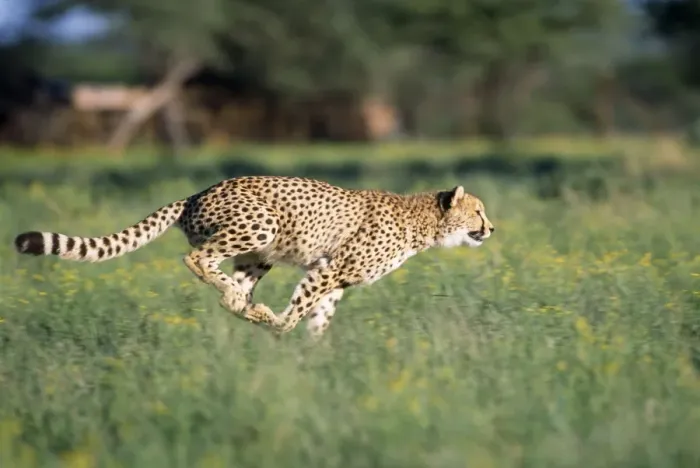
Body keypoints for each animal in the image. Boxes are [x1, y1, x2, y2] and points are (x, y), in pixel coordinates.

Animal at [14, 175, 495, 339]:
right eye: (478, 211)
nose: (491, 229)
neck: (424, 223)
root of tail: (197, 192)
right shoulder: (330, 268)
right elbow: (299, 310)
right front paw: (282, 328)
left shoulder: (334, 278)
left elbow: (319, 316)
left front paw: (315, 357)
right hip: (261, 224)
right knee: (197, 260)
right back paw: (248, 306)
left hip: (259, 254)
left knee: (231, 285)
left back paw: (243, 303)